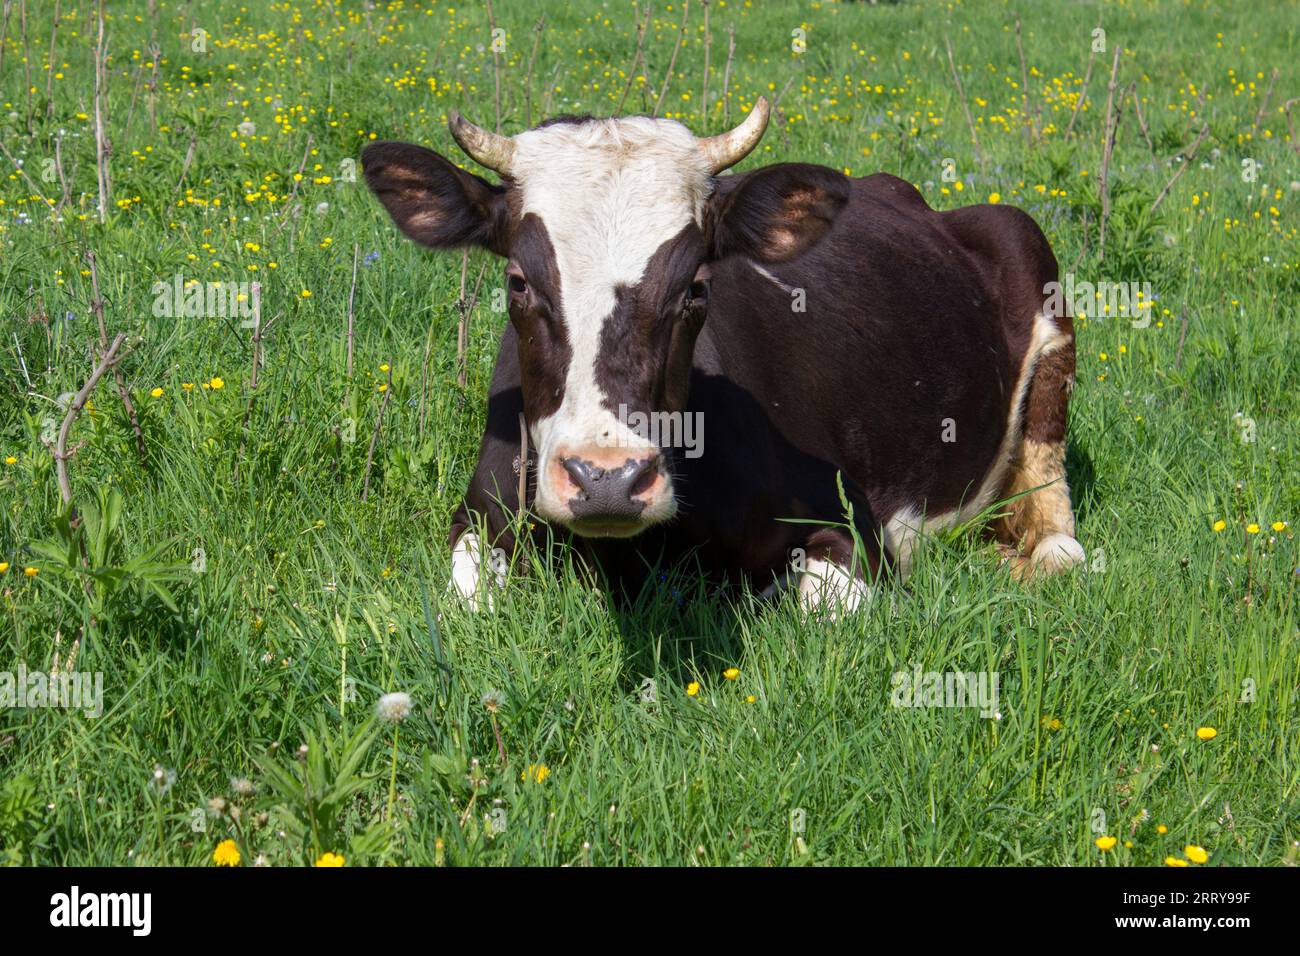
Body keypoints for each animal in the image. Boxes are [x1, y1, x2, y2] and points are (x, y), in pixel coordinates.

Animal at [362, 97, 1085, 612]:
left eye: (696, 285)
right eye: (518, 281)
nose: (607, 480)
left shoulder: (854, 524)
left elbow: (820, 605)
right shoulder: (481, 513)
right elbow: (469, 599)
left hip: (1033, 264)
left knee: (1059, 532)